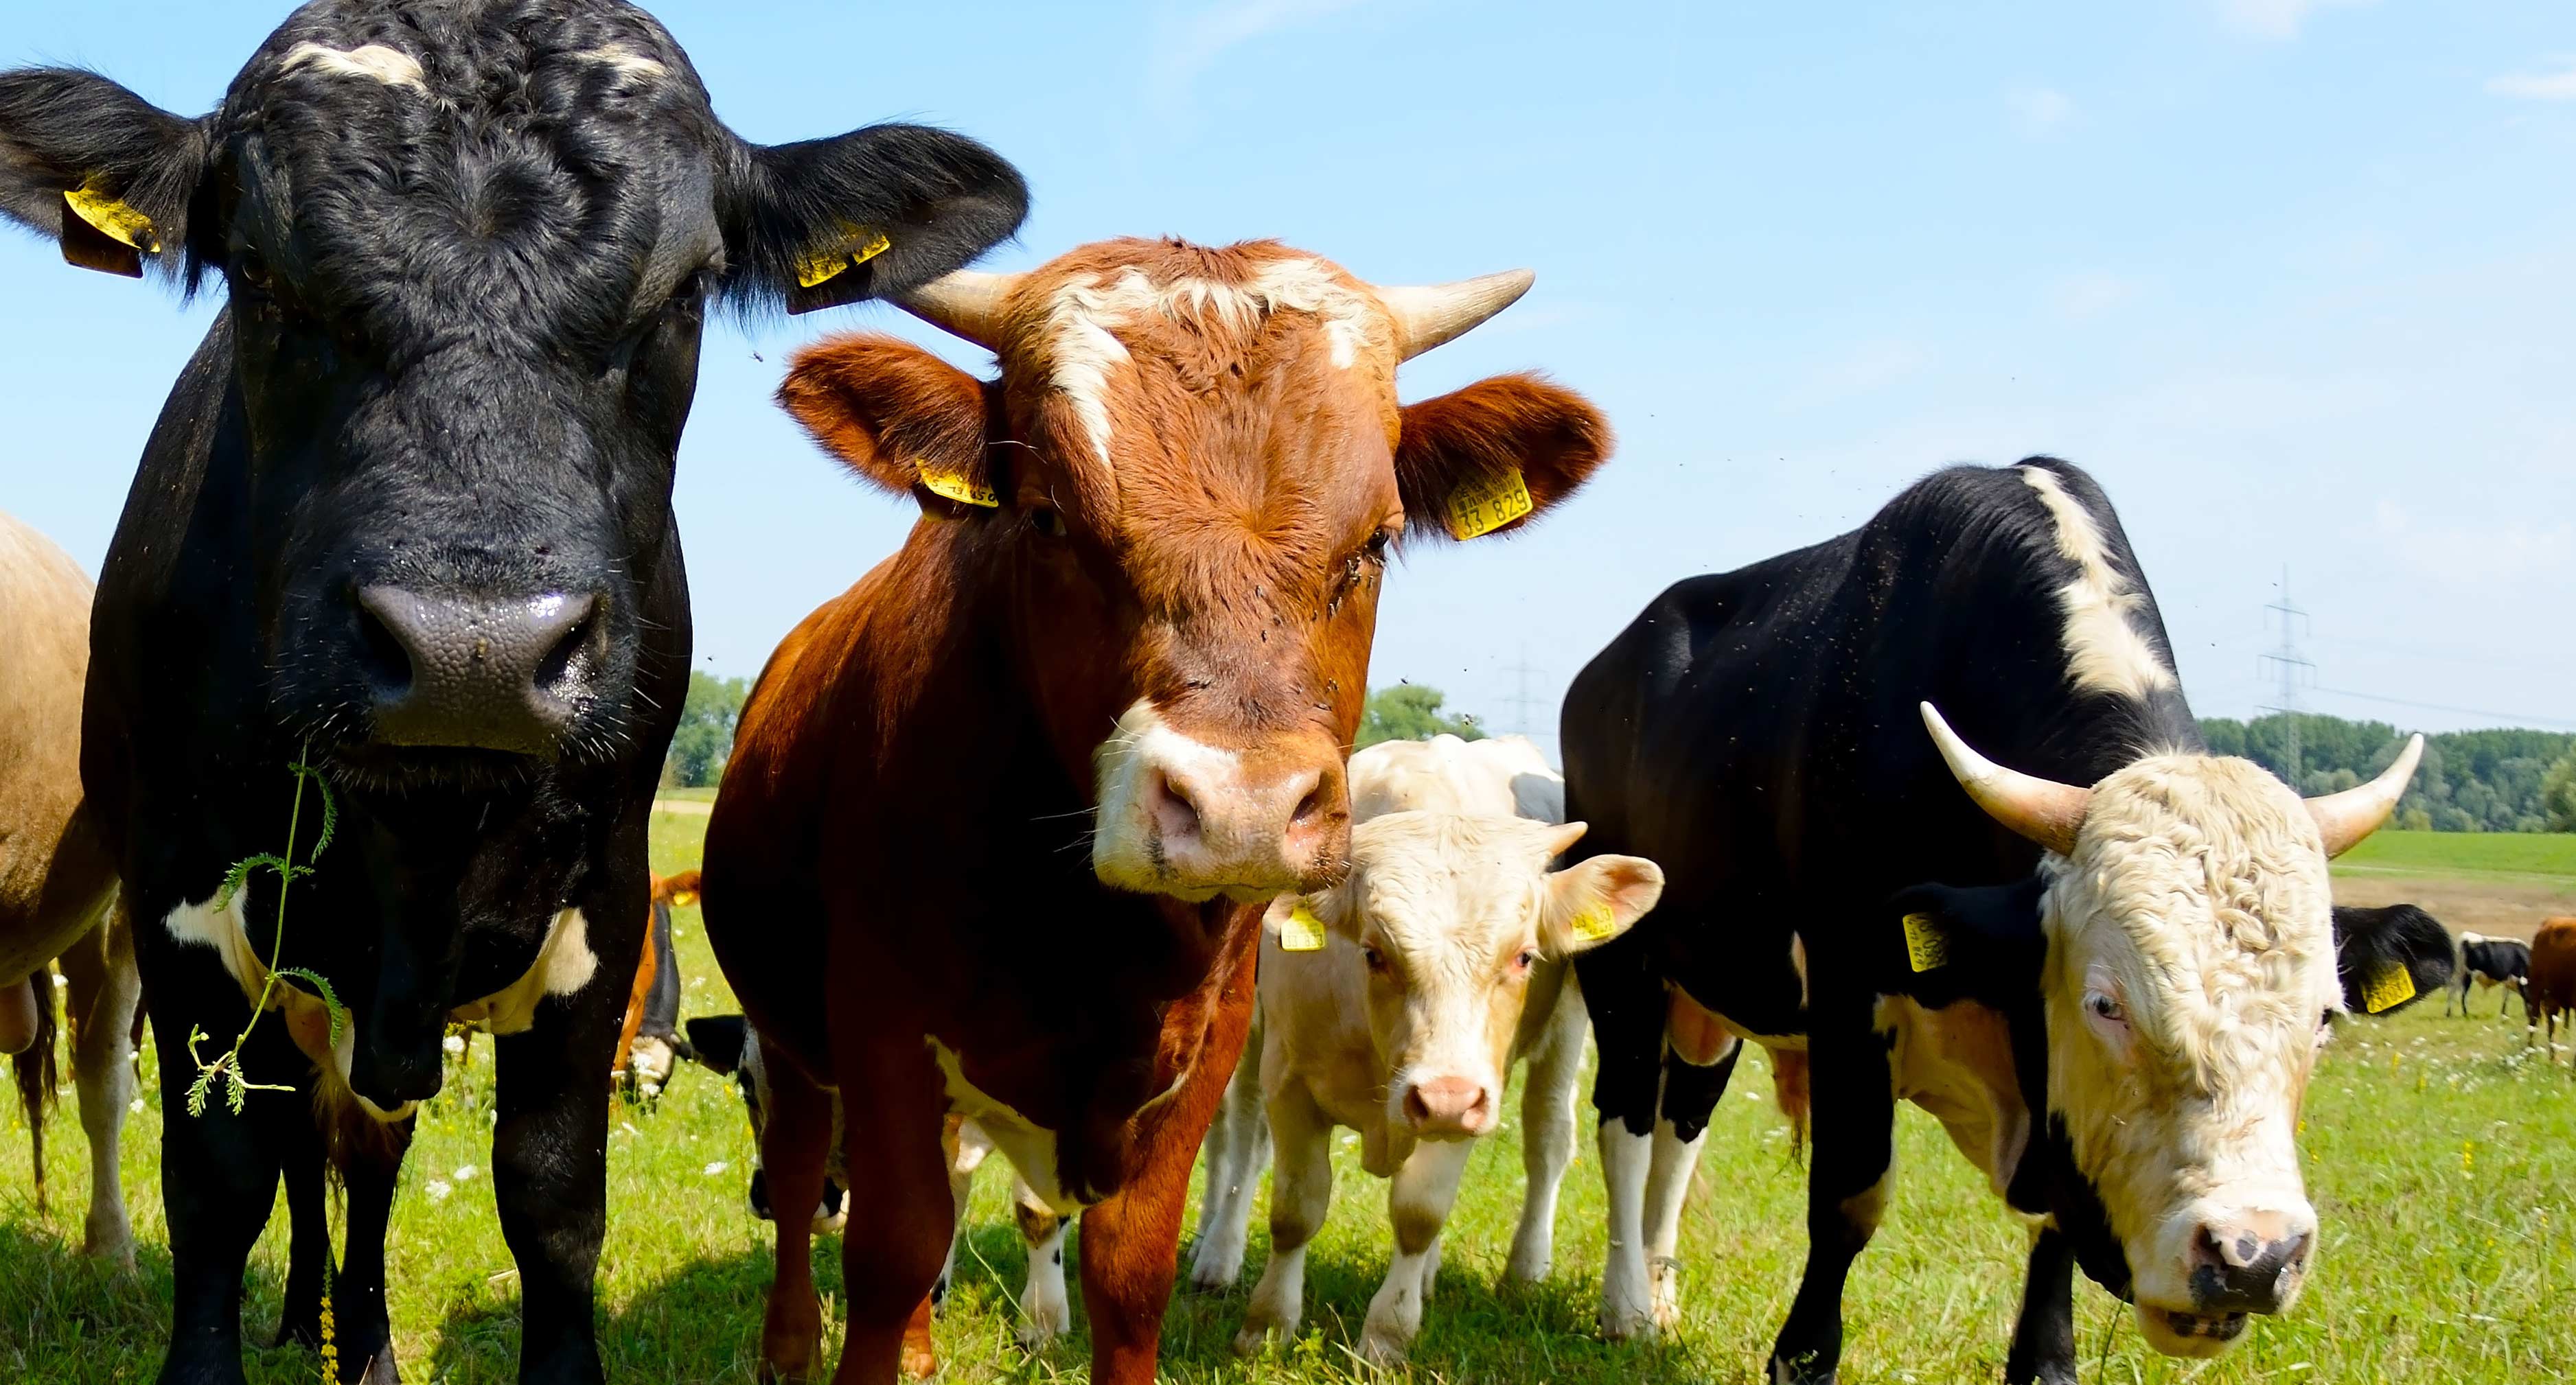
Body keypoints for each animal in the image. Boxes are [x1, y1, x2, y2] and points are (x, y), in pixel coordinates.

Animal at [0, 5, 1025, 1369]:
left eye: (687, 290)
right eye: (259, 278)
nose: (469, 650)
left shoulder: (604, 909)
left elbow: (550, 1198)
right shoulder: (180, 898)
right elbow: (221, 1179)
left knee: (366, 1154)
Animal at [706, 237, 1607, 1380]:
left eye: (1376, 540)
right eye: (1048, 515)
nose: (1242, 806)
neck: (1081, 926)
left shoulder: (1203, 1050)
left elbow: (1132, 1271)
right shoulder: (882, 1031)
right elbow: (894, 1245)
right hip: (786, 1035)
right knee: (793, 1176)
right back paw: (787, 1343)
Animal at [1210, 731, 1669, 1359]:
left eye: (1524, 956)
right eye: (1374, 953)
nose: (1443, 1098)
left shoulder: (1473, 1093)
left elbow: (1419, 1214)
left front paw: (1387, 1335)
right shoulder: (1291, 1080)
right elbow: (1294, 1210)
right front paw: (1266, 1325)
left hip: (1567, 1028)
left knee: (1548, 1138)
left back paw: (1516, 1271)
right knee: (1241, 1134)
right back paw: (1215, 1255)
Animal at [1556, 461, 2441, 1380]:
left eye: (2324, 1017)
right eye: (2105, 1004)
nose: (2251, 1254)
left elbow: (2051, 1223)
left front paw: (2046, 1358)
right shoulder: (1847, 988)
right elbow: (1848, 1194)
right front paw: (1801, 1355)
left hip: (1715, 991)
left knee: (1680, 1124)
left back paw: (1659, 1294)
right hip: (1624, 962)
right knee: (1625, 1116)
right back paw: (1625, 1304)